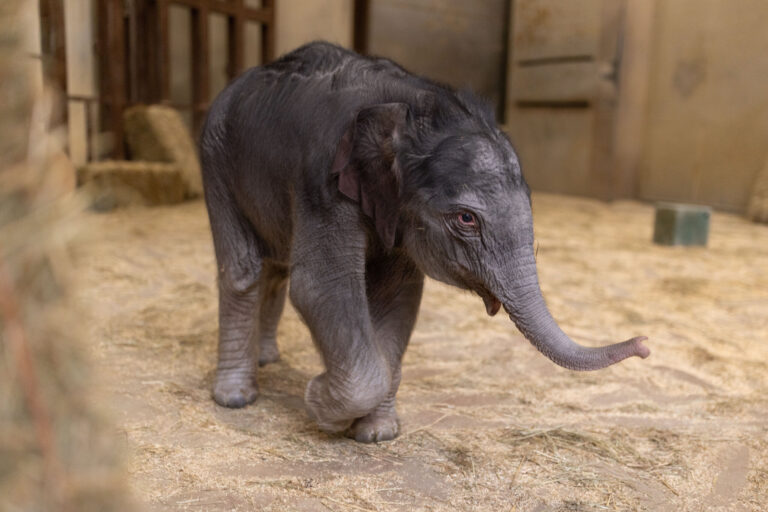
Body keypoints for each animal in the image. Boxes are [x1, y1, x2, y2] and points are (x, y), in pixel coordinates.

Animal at [199, 42, 649, 443]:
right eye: (466, 219)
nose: (644, 344)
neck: (413, 108)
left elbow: (397, 297)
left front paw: (377, 433)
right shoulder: (322, 183)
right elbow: (320, 288)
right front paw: (318, 401)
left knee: (276, 266)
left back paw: (268, 358)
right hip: (215, 157)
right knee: (244, 270)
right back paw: (236, 397)